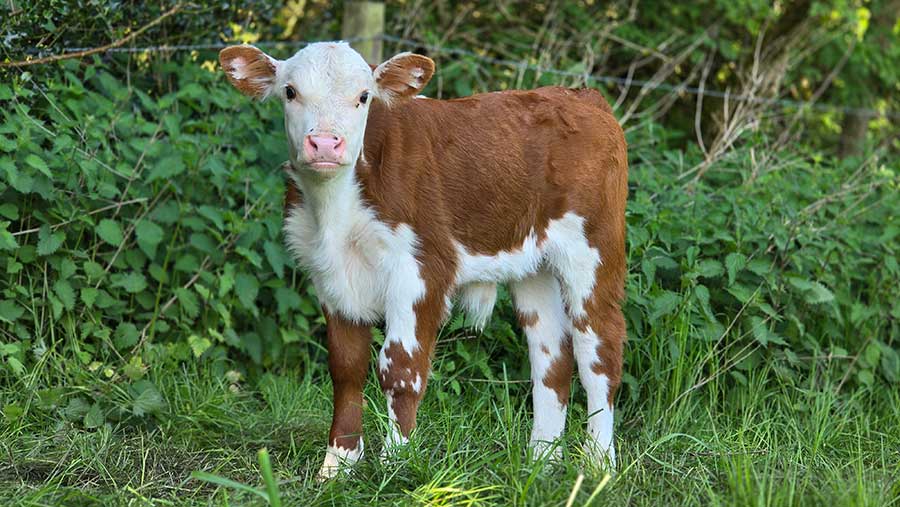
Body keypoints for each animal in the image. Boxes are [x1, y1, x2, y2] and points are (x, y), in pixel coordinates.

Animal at [218, 41, 628, 479]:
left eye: (364, 97)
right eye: (290, 92)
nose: (326, 144)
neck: (335, 213)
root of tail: (582, 96)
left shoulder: (420, 269)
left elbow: (400, 367)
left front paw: (395, 464)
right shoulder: (329, 274)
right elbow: (346, 367)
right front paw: (338, 465)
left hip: (593, 250)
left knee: (599, 349)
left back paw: (599, 462)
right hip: (532, 263)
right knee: (552, 354)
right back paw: (541, 462)